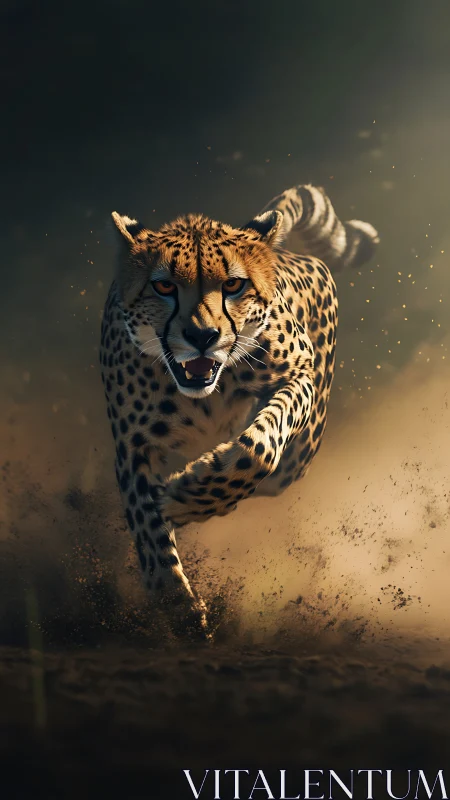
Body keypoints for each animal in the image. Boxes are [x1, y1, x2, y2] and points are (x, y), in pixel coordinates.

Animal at [100, 184, 379, 638]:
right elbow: (148, 529)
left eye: (232, 284)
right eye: (164, 287)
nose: (202, 335)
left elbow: (258, 448)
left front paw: (187, 496)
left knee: (275, 470)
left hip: (300, 454)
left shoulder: (299, 375)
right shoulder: (131, 444)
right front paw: (176, 607)